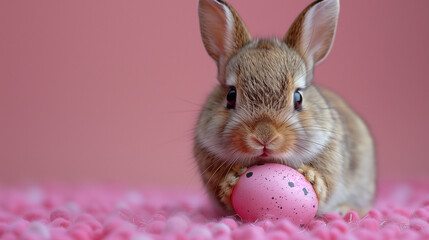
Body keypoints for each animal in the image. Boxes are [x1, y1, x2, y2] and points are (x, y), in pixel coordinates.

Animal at [194, 0, 374, 218]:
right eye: (230, 96)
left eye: (298, 98)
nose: (264, 136)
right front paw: (231, 181)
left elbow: (326, 187)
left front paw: (311, 177)